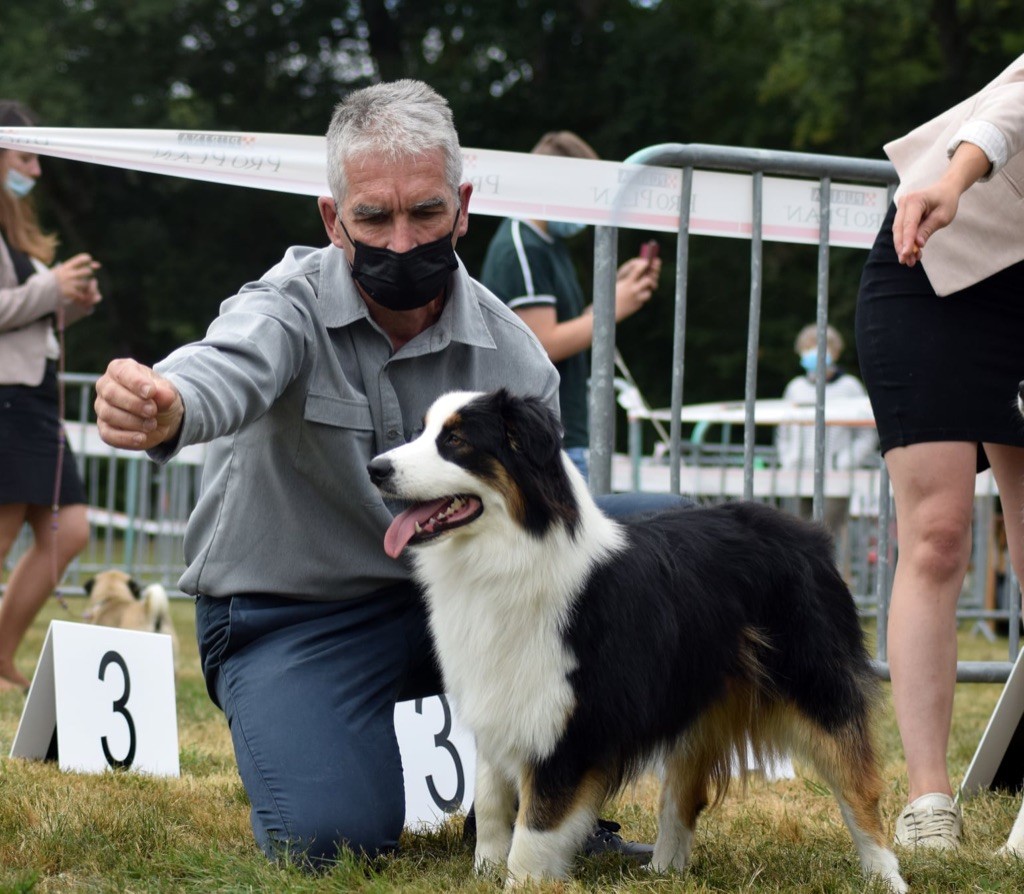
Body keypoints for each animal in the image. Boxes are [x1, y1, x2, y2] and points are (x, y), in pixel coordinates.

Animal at [366, 391, 905, 892]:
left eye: (455, 440)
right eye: (421, 431)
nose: (375, 468)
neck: (509, 553)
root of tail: (808, 532)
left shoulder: (570, 721)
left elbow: (535, 827)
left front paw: (520, 882)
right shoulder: (499, 698)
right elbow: (494, 802)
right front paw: (484, 871)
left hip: (816, 686)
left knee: (859, 787)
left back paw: (886, 876)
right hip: (693, 693)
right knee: (683, 795)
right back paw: (664, 871)